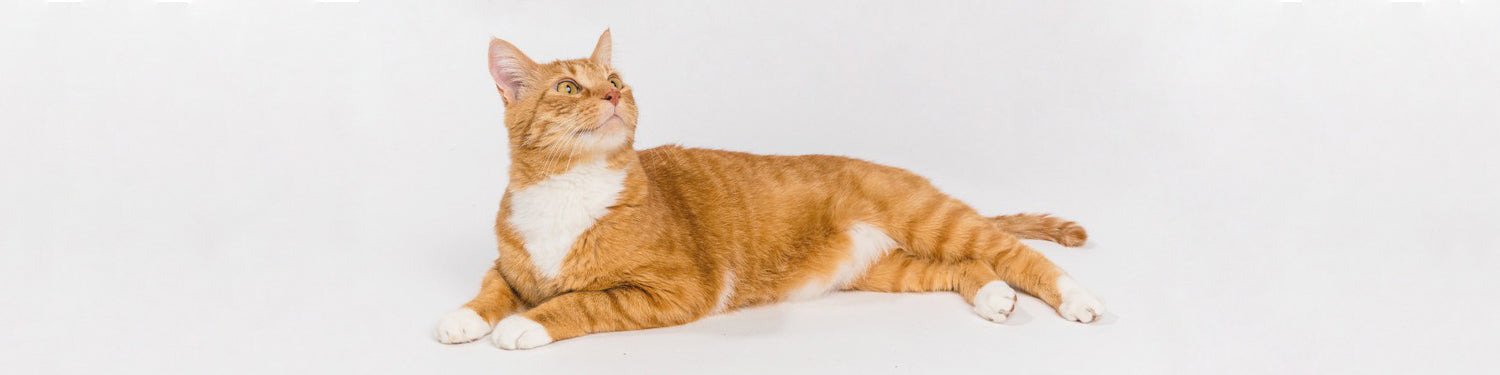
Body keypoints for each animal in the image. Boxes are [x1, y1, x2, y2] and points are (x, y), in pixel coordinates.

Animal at [432, 30, 1104, 349]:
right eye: (569, 88)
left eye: (616, 78)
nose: (613, 96)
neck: (566, 189)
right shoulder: (510, 264)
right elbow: (492, 289)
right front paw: (464, 319)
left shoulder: (671, 290)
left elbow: (579, 302)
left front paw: (526, 325)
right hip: (890, 268)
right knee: (967, 266)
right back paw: (994, 297)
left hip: (931, 218)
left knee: (1014, 253)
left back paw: (1078, 298)